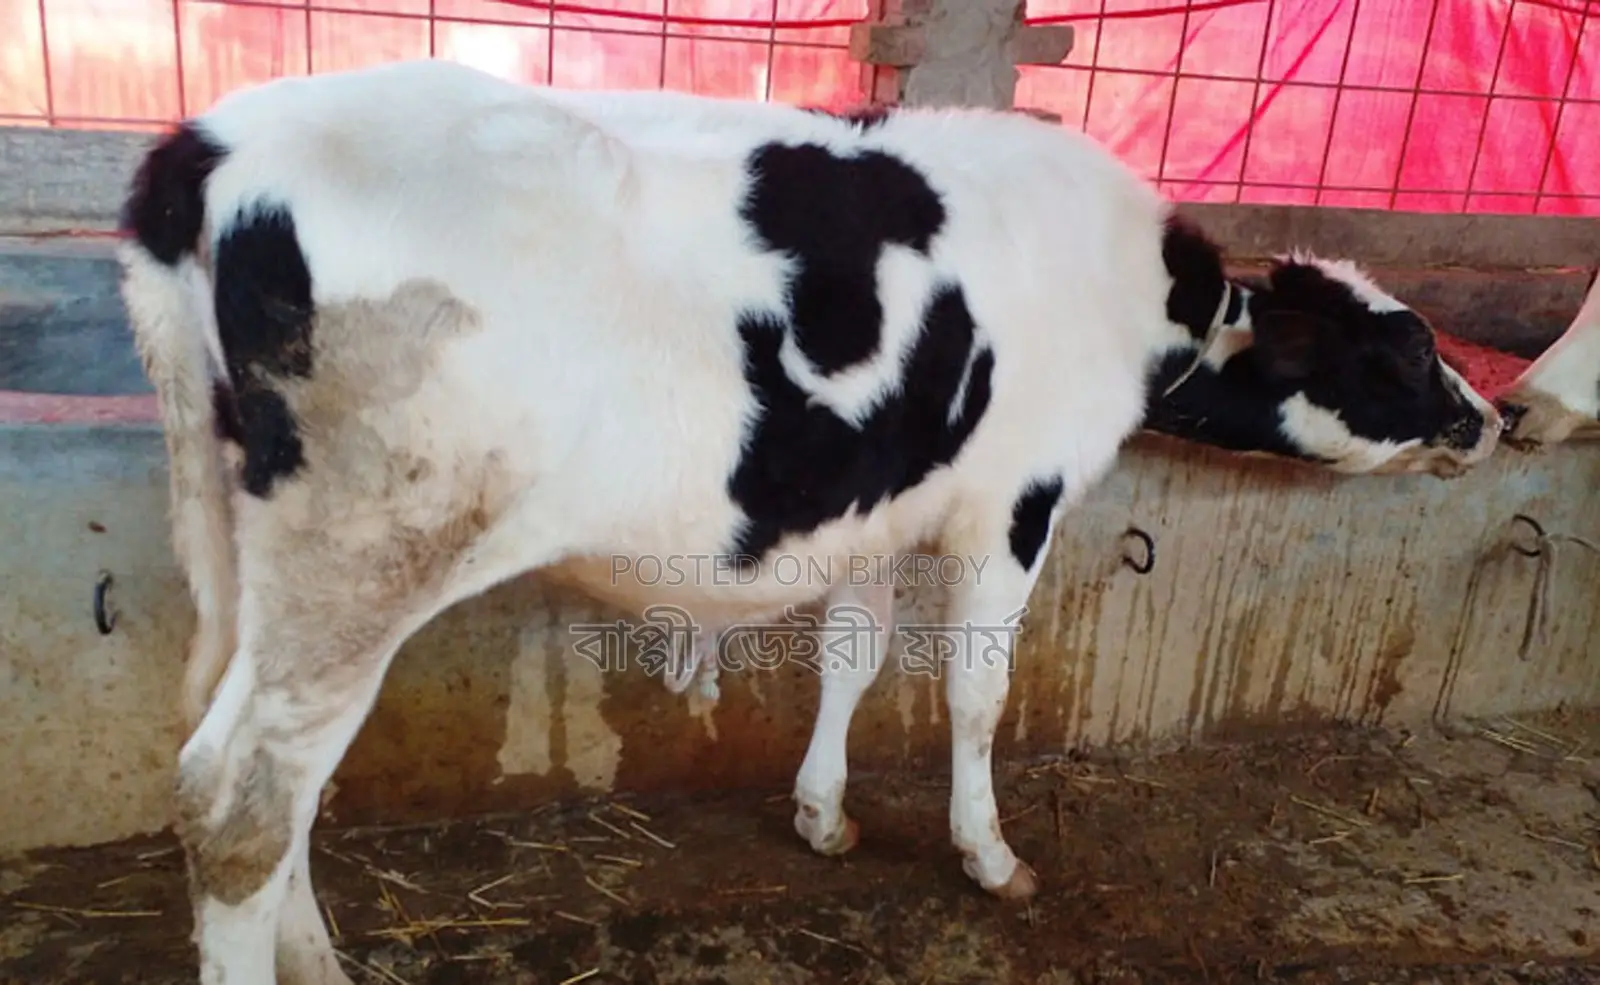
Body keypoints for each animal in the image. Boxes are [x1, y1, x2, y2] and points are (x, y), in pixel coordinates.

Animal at [115, 58, 1501, 984]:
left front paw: (823, 814)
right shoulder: (1015, 500)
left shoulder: (872, 505)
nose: (1489, 421)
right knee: (240, 799)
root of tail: (211, 146)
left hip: (256, 555)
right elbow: (975, 691)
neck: (1127, 288)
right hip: (369, 552)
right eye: (1402, 351)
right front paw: (988, 855)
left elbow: (853, 655)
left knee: (251, 769)